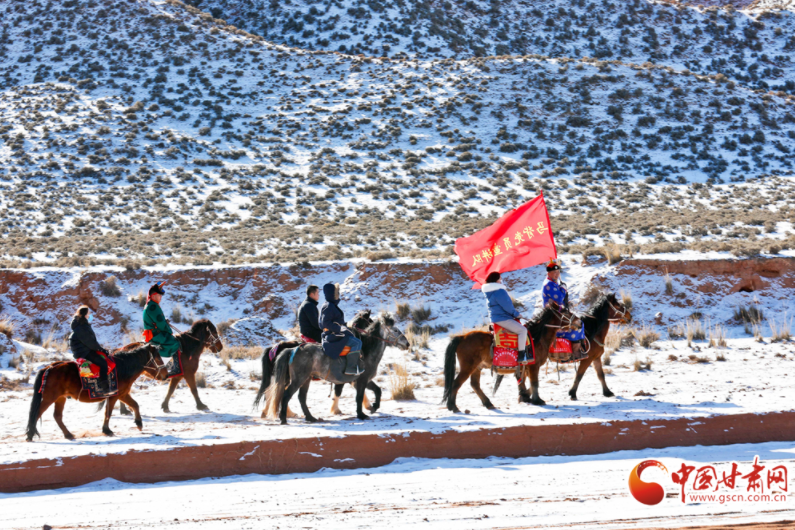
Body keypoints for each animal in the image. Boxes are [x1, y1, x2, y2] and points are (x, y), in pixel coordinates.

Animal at [26, 340, 166, 440]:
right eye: (158, 358)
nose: (166, 374)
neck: (122, 368)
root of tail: (49, 368)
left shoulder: (122, 394)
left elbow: (135, 405)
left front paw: (139, 423)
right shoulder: (114, 396)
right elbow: (108, 412)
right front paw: (107, 430)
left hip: (60, 398)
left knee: (57, 416)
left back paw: (68, 434)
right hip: (50, 398)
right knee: (36, 413)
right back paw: (30, 435)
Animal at [264, 312, 410, 422]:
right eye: (395, 330)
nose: (407, 344)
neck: (366, 351)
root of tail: (292, 349)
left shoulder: (362, 379)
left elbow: (377, 390)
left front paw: (374, 406)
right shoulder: (361, 380)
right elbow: (359, 396)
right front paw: (361, 414)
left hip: (305, 379)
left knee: (300, 397)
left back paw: (310, 417)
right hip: (298, 379)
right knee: (285, 394)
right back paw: (283, 418)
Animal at [442, 302, 580, 412]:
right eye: (566, 313)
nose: (579, 322)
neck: (537, 338)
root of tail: (462, 337)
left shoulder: (524, 368)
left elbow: (524, 383)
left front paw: (524, 397)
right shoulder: (534, 366)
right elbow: (534, 383)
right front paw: (537, 400)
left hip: (477, 367)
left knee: (475, 385)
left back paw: (488, 403)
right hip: (468, 367)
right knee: (456, 383)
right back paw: (453, 406)